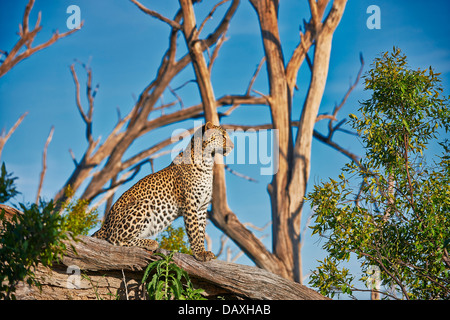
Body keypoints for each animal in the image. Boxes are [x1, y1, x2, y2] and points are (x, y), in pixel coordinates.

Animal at [90, 121, 232, 262]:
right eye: (223, 136)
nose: (232, 146)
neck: (208, 163)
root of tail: (105, 224)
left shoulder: (202, 207)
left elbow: (201, 231)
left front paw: (203, 251)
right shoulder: (190, 204)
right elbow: (194, 231)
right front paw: (199, 253)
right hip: (144, 205)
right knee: (116, 238)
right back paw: (150, 242)